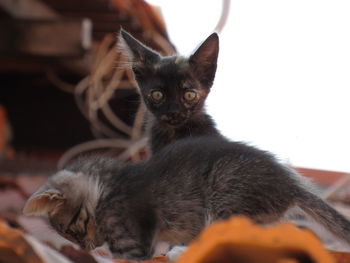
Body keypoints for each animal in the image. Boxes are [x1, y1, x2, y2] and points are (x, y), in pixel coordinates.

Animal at [23, 137, 350, 260]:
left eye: (72, 228)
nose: (84, 247)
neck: (106, 185)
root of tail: (289, 184)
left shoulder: (131, 241)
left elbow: (126, 255)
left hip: (225, 194)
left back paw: (181, 251)